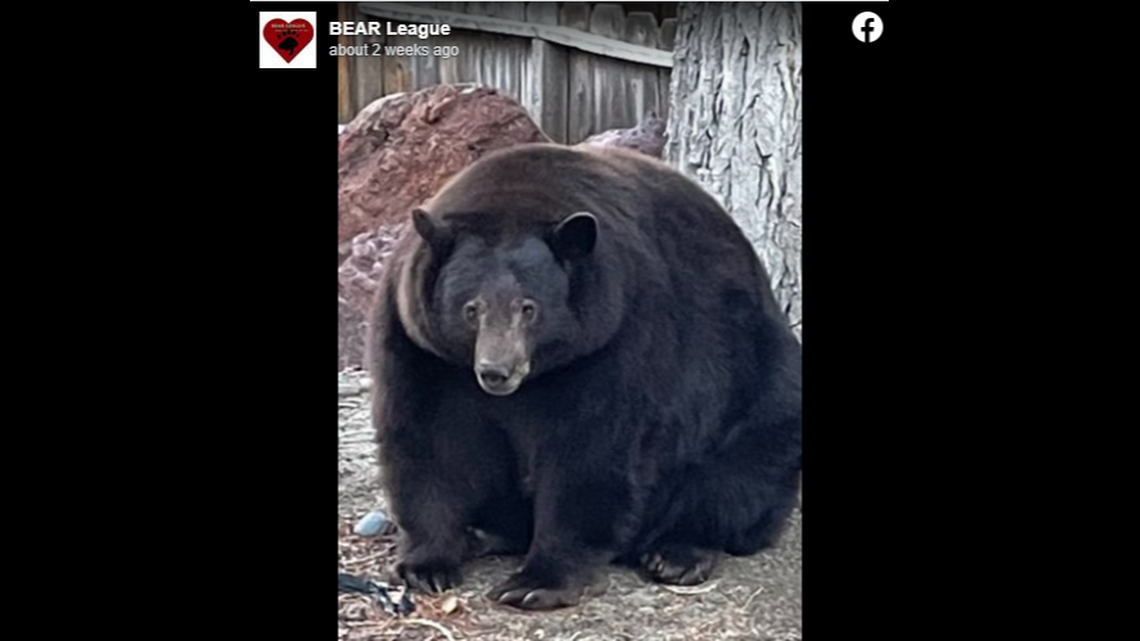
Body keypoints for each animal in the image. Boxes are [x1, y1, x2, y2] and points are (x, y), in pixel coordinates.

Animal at [368, 143, 802, 610]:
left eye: (529, 307)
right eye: (471, 308)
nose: (496, 371)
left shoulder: (617, 335)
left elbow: (591, 450)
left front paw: (535, 582)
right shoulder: (420, 346)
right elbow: (429, 438)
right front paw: (426, 565)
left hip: (756, 384)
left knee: (740, 472)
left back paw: (678, 553)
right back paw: (484, 532)